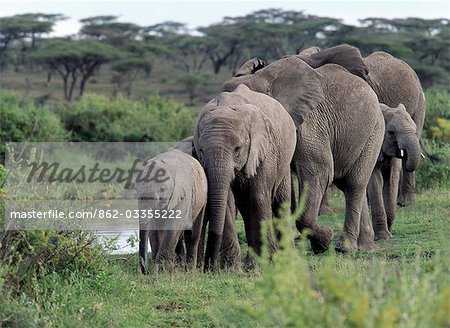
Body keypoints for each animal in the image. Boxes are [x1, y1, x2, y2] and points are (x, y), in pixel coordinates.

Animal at [192, 83, 296, 270]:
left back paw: (286, 259)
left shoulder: (265, 149)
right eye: (201, 150)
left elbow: (259, 197)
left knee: (280, 203)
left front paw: (269, 263)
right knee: (246, 208)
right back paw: (252, 263)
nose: (208, 267)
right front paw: (232, 269)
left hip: (284, 160)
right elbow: (227, 201)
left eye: (237, 150)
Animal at [223, 44, 384, 254]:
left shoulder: (310, 123)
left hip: (374, 131)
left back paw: (345, 248)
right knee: (349, 184)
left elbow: (319, 172)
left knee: (354, 183)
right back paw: (364, 246)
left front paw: (324, 241)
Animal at [368, 104, 420, 240]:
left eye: (415, 129)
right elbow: (375, 180)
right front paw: (383, 237)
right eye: (391, 132)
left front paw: (390, 231)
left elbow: (392, 178)